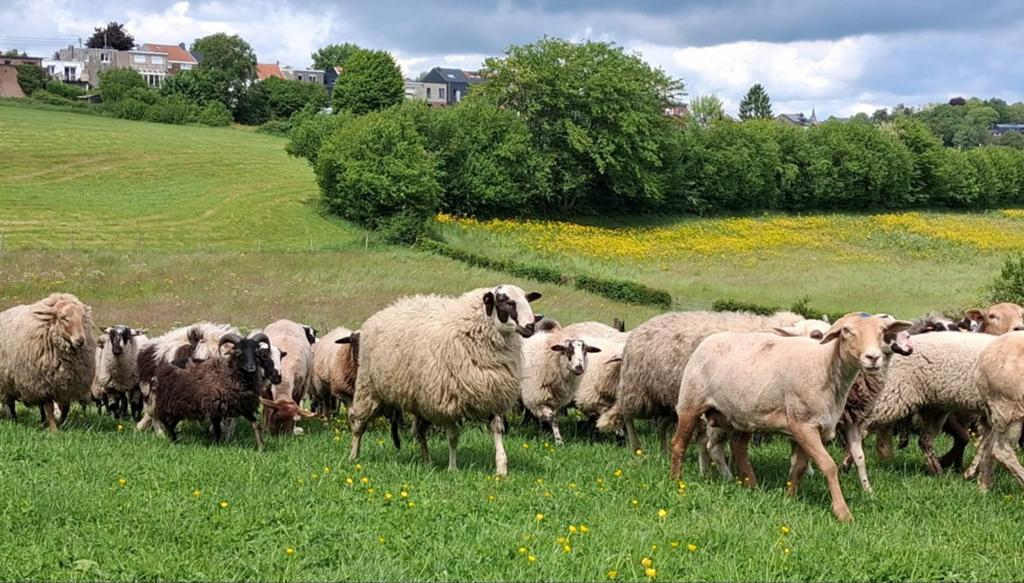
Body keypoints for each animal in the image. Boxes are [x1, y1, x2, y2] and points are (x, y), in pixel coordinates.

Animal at [0, 293, 97, 431]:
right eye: (63, 318)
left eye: (82, 317)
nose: (80, 340)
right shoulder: (44, 384)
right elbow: (50, 408)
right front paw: (54, 430)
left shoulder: (65, 386)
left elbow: (65, 409)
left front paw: (59, 423)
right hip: (7, 382)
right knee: (10, 402)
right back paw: (14, 420)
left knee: (38, 406)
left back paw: (42, 421)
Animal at [140, 332, 273, 449]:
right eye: (238, 352)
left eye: (257, 352)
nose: (251, 367)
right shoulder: (215, 408)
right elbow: (217, 430)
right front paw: (217, 446)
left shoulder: (242, 405)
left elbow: (255, 423)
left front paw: (262, 447)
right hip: (170, 402)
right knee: (162, 418)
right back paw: (171, 438)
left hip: (181, 406)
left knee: (170, 422)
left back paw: (174, 439)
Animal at [348, 285, 542, 476]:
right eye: (504, 301)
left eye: (527, 299)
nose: (530, 326)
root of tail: (382, 312)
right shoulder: (448, 399)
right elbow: (453, 438)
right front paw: (452, 469)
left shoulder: (492, 394)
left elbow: (497, 430)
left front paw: (501, 469)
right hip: (368, 386)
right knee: (359, 424)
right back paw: (353, 456)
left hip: (420, 399)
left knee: (420, 431)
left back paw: (427, 460)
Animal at [611, 310, 827, 456]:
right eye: (816, 334)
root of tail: (643, 325)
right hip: (636, 387)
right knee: (628, 417)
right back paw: (636, 448)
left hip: (670, 397)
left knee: (662, 425)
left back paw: (664, 452)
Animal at [670, 313, 913, 521]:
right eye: (846, 331)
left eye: (882, 332)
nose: (873, 357)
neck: (824, 366)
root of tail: (708, 340)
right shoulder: (802, 425)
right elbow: (829, 466)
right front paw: (843, 512)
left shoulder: (815, 428)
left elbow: (800, 467)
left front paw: (790, 497)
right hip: (690, 403)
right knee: (679, 444)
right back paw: (676, 481)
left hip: (743, 415)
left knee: (738, 447)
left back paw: (753, 486)